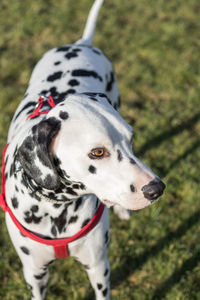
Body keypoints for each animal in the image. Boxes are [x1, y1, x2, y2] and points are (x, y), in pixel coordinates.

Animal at [3, 0, 165, 298]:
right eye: (97, 152)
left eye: (130, 138)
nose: (156, 189)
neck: (57, 210)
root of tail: (81, 43)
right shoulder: (35, 273)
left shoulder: (99, 267)